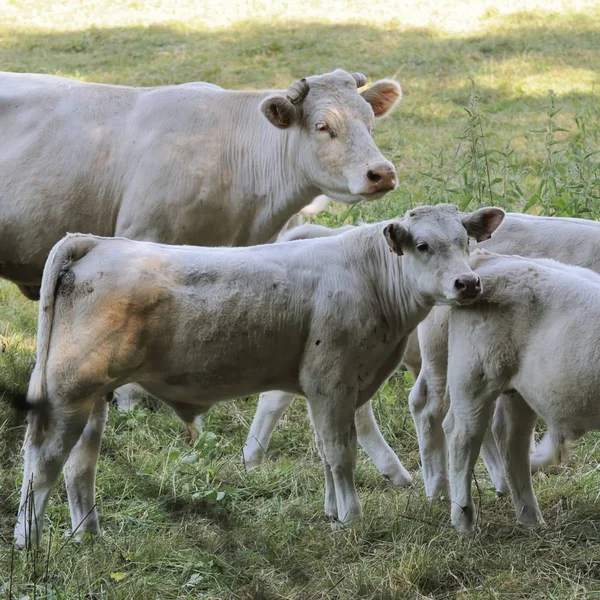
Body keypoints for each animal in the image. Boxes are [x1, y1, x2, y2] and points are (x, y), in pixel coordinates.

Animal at [14, 203, 504, 548]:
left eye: (465, 240)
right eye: (422, 245)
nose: (467, 283)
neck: (369, 277)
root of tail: (98, 242)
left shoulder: (324, 389)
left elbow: (325, 452)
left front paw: (332, 513)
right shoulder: (331, 382)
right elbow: (340, 453)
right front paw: (351, 517)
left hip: (92, 396)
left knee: (80, 466)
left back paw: (89, 536)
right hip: (67, 393)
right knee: (43, 462)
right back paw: (29, 541)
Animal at [442, 251, 600, 532]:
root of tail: (492, 259)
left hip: (519, 391)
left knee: (511, 439)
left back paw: (530, 519)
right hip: (473, 378)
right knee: (463, 437)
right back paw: (465, 521)